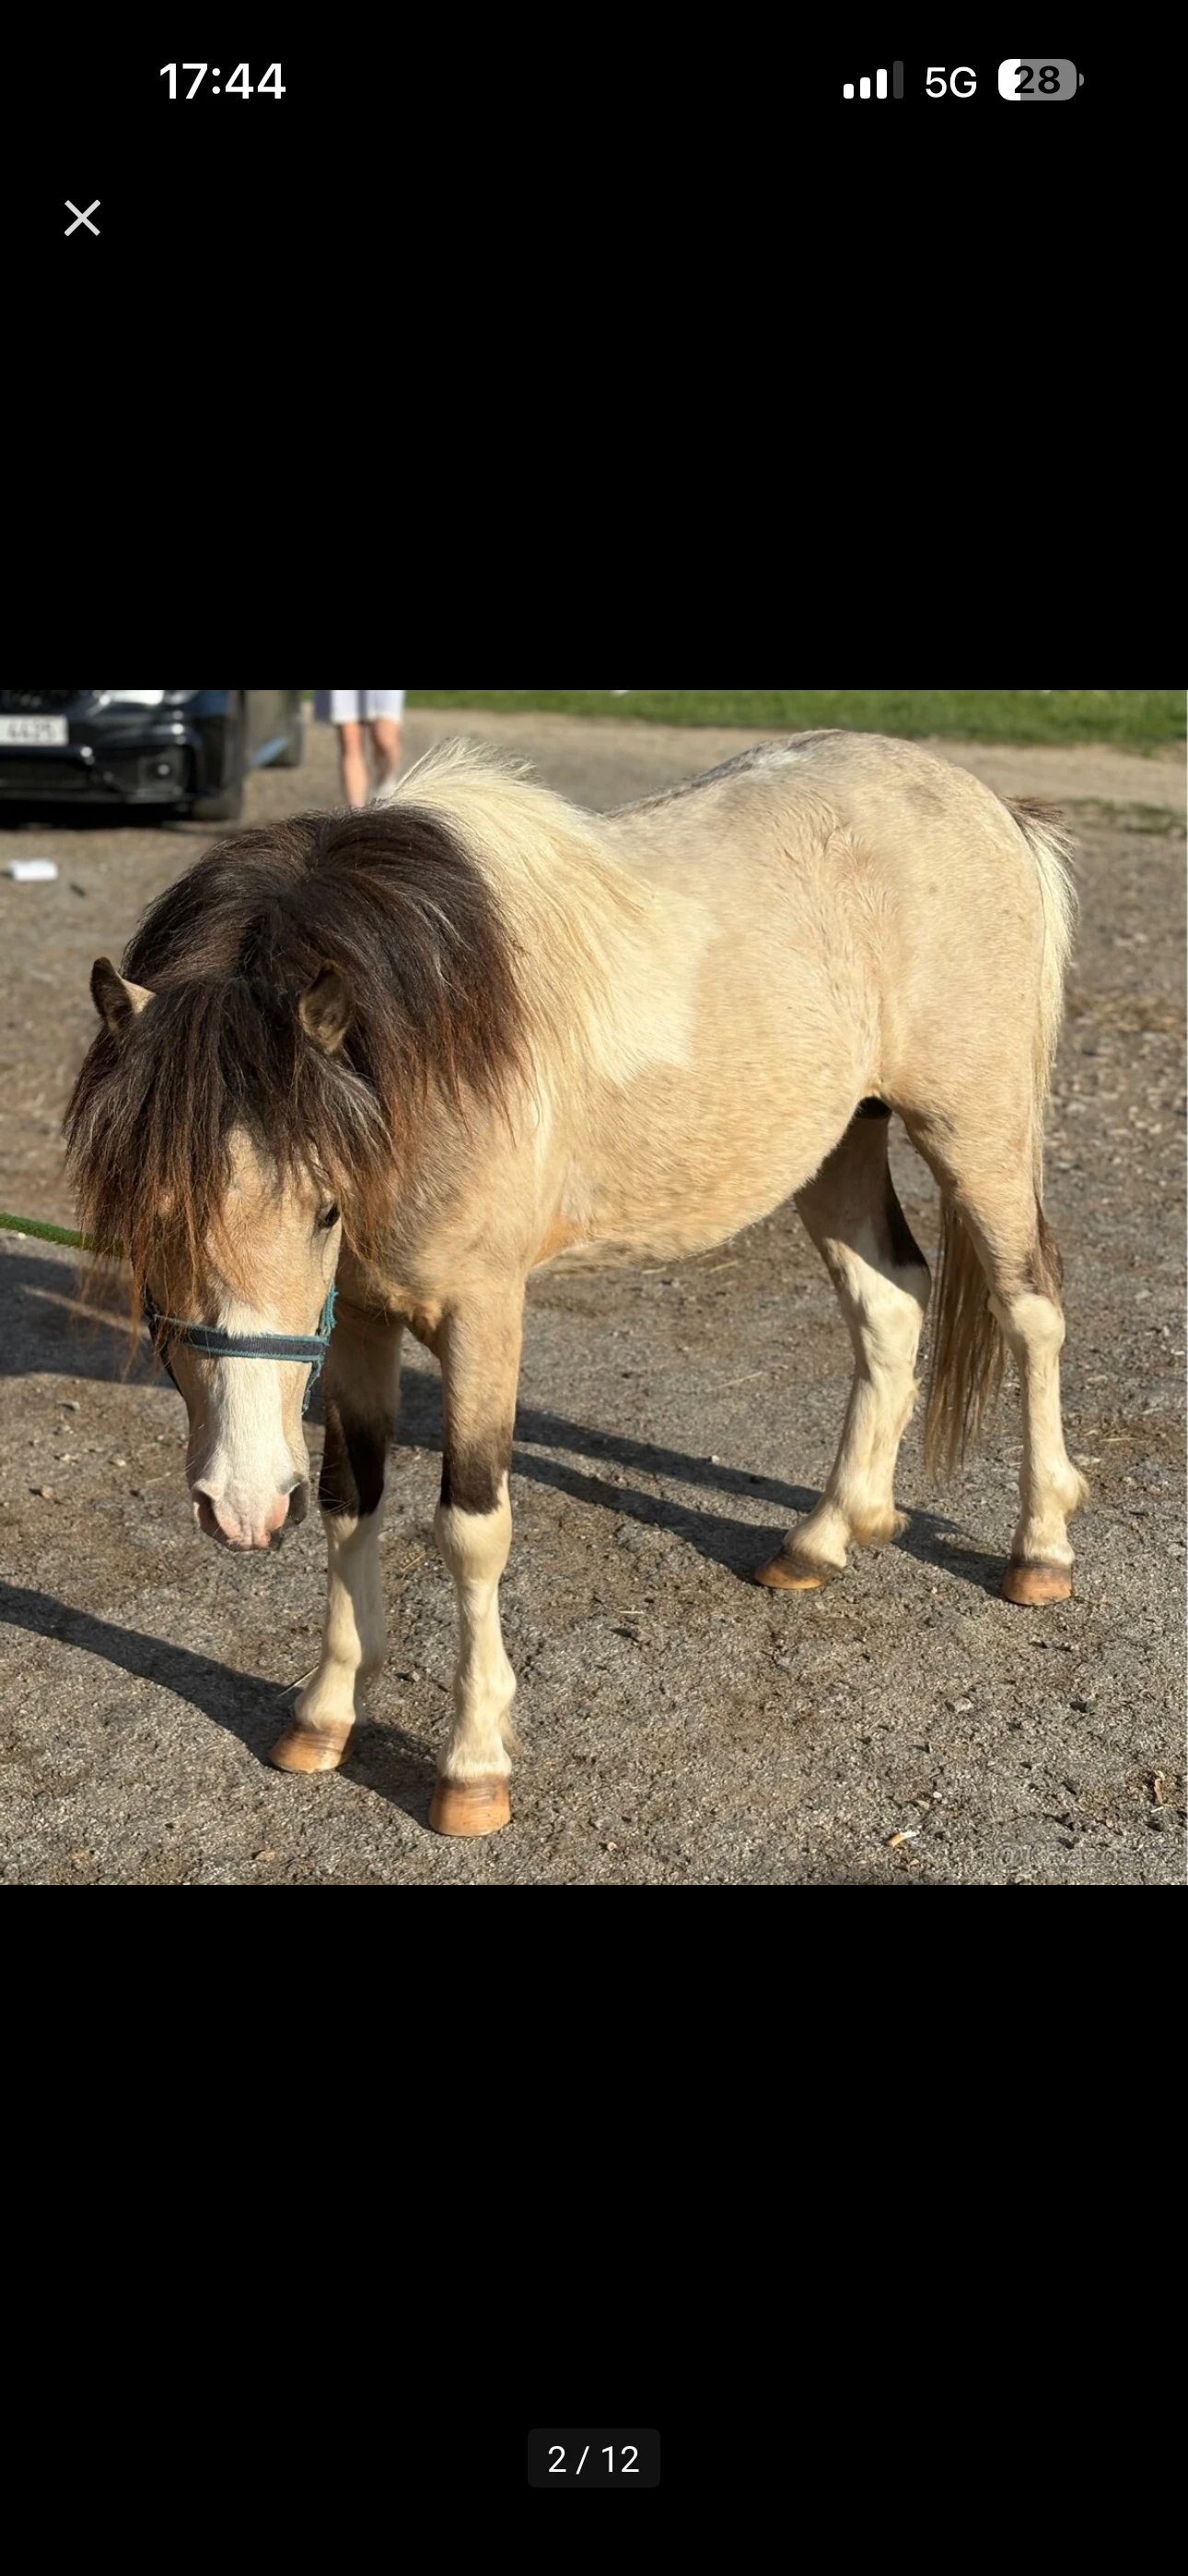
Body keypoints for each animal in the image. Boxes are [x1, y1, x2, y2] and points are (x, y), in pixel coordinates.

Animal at [65, 731, 1088, 1838]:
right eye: (149, 1216)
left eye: (324, 1209)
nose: (243, 1505)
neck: (417, 1061)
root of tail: (986, 806)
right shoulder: (361, 1323)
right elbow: (349, 1501)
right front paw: (325, 1716)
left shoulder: (481, 1318)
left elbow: (471, 1528)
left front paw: (473, 1768)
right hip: (837, 1143)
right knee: (891, 1304)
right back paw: (829, 1535)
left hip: (975, 1131)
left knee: (1030, 1314)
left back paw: (1040, 1551)